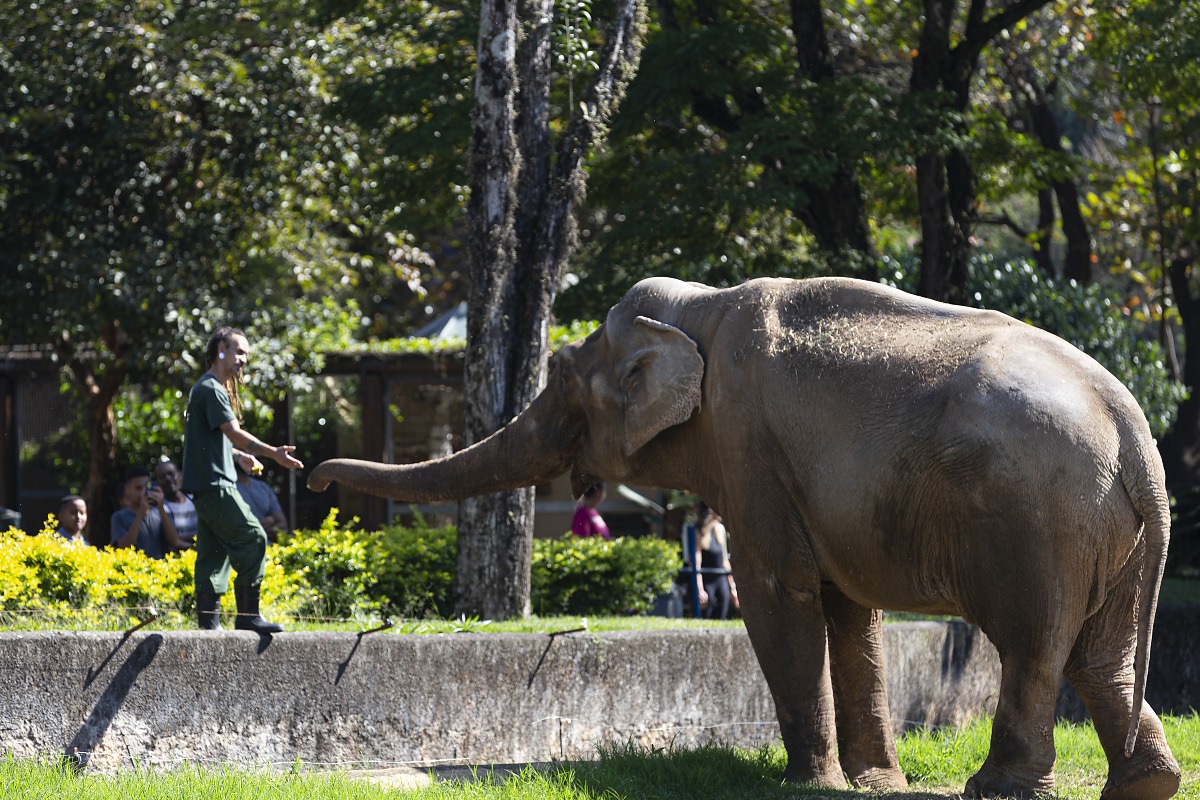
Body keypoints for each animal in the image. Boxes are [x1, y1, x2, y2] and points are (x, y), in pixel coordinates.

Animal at [308, 276, 1181, 799]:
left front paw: (813, 786)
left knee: (1036, 647)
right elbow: (848, 613)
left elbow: (777, 596)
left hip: (1035, 522)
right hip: (1108, 529)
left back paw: (995, 788)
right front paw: (876, 784)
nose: (312, 477)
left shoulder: (749, 449)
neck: (699, 304)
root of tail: (1133, 425)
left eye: (562, 383)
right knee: (1101, 657)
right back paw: (1147, 785)